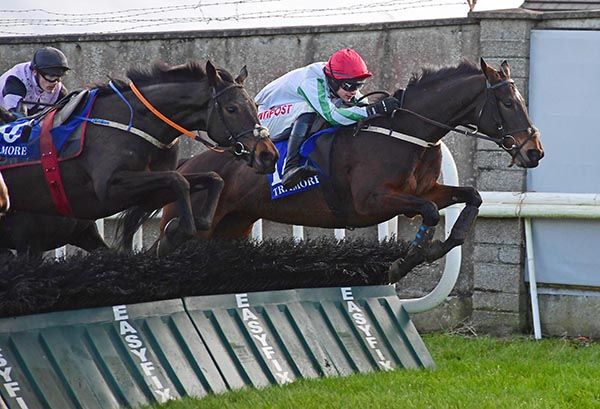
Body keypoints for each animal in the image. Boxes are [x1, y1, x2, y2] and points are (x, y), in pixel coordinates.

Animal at [1, 59, 278, 255]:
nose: (268, 155)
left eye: (255, 106)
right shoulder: (109, 189)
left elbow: (211, 179)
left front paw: (183, 228)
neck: (133, 123)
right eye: (232, 108)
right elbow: (179, 181)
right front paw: (175, 234)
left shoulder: (151, 189)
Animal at [130, 57, 544, 280]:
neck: (405, 131)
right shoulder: (371, 201)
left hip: (232, 228)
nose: (534, 151)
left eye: (522, 100)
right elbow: (426, 213)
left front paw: (439, 245)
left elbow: (470, 198)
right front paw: (405, 261)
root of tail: (192, 162)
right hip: (197, 226)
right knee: (165, 244)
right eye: (508, 102)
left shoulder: (424, 190)